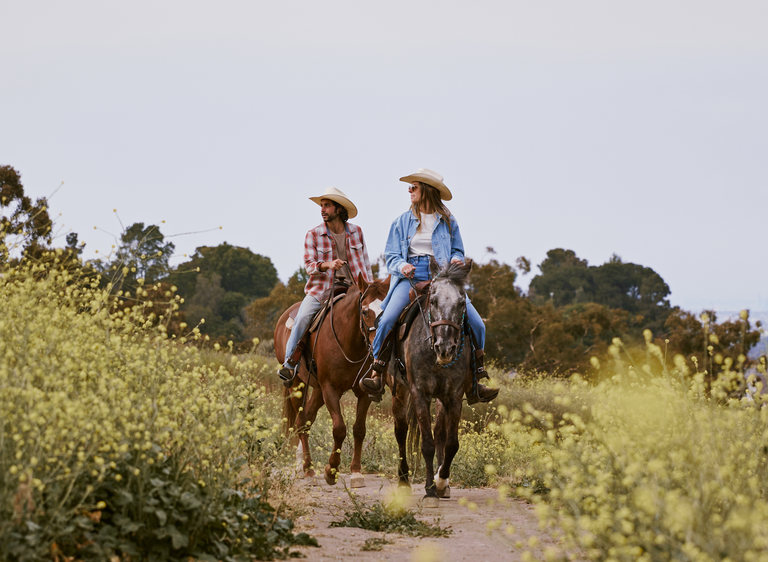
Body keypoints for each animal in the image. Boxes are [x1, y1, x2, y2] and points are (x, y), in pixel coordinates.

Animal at [274, 274, 390, 484]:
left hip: (317, 390)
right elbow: (339, 429)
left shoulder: (363, 392)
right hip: (297, 385)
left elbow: (359, 429)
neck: (348, 341)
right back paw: (308, 468)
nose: (381, 344)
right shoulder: (330, 388)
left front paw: (356, 472)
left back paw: (301, 464)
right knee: (301, 422)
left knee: (308, 419)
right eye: (365, 311)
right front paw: (331, 471)